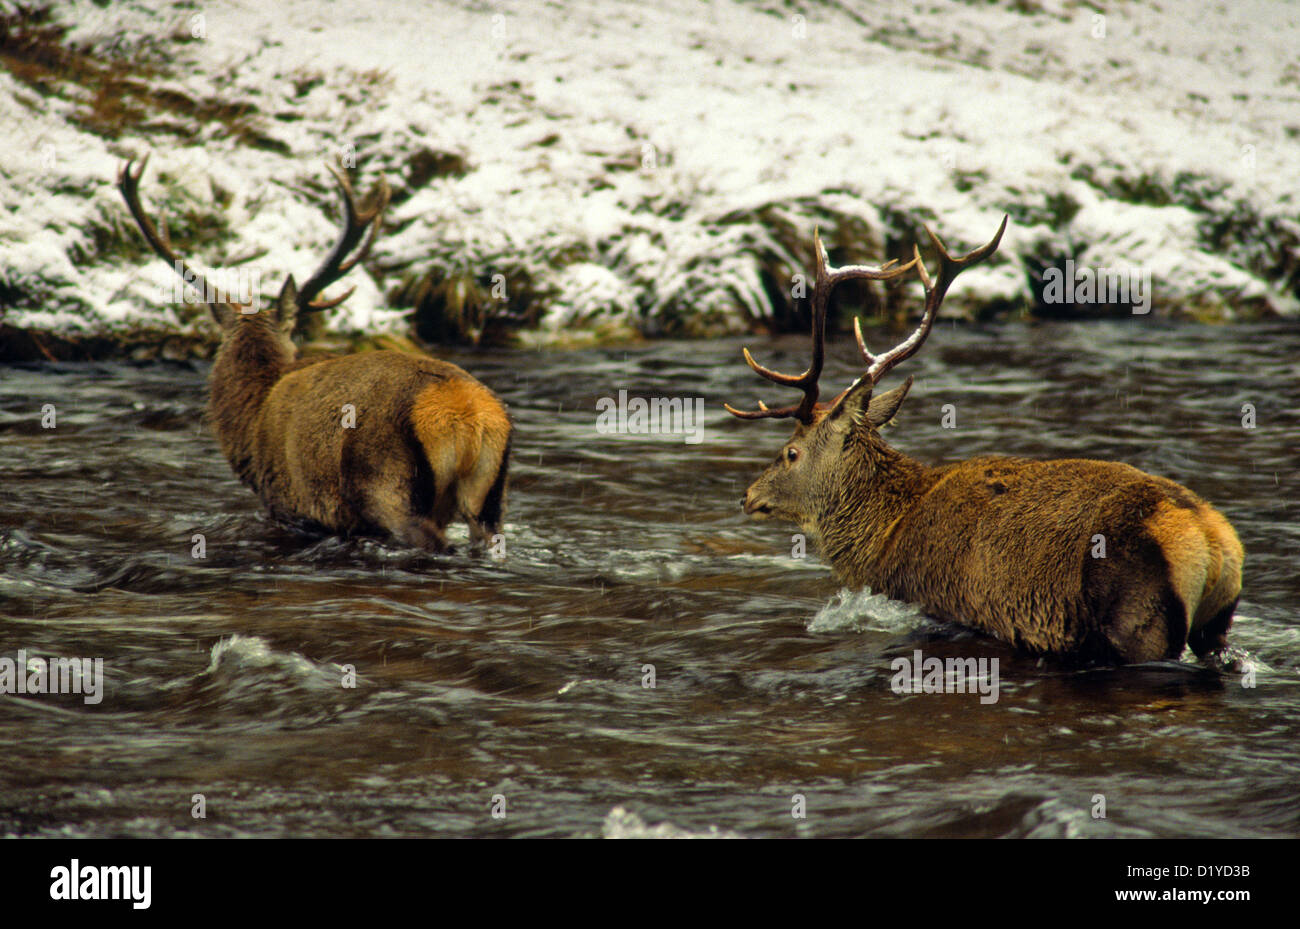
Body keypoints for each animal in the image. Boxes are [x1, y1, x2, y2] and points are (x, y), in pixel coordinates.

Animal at [728, 218, 1242, 665]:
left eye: (790, 452)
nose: (747, 495)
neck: (883, 538)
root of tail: (1214, 542)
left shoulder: (924, 598)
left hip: (1137, 619)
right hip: (1216, 625)